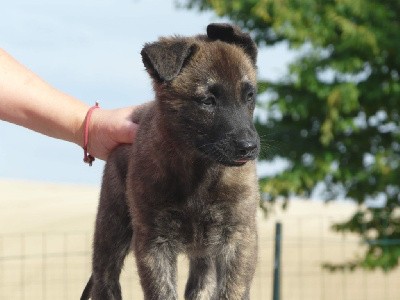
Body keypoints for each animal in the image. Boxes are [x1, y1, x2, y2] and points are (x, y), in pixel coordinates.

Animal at [81, 24, 260, 300]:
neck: (200, 172)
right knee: (105, 280)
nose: (249, 147)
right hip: (112, 227)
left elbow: (232, 290)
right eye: (207, 101)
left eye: (249, 96)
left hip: (205, 252)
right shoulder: (154, 241)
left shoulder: (239, 236)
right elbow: (163, 291)